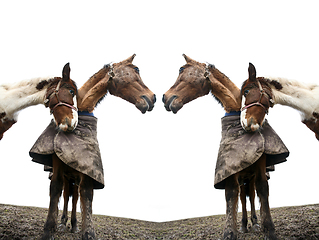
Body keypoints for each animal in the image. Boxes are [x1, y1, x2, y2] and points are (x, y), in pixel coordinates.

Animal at [36, 54, 156, 240]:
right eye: (134, 71)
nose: (152, 98)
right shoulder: (58, 166)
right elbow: (55, 189)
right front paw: (49, 230)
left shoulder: (87, 169)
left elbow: (86, 194)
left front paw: (88, 232)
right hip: (68, 176)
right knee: (66, 195)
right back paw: (63, 223)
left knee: (75, 197)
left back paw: (73, 225)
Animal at [164, 55, 288, 239]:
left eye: (182, 70)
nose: (165, 98)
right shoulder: (230, 168)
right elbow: (231, 194)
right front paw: (230, 232)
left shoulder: (258, 165)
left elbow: (262, 189)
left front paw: (269, 230)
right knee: (243, 197)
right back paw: (244, 225)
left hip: (249, 177)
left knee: (251, 196)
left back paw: (254, 223)